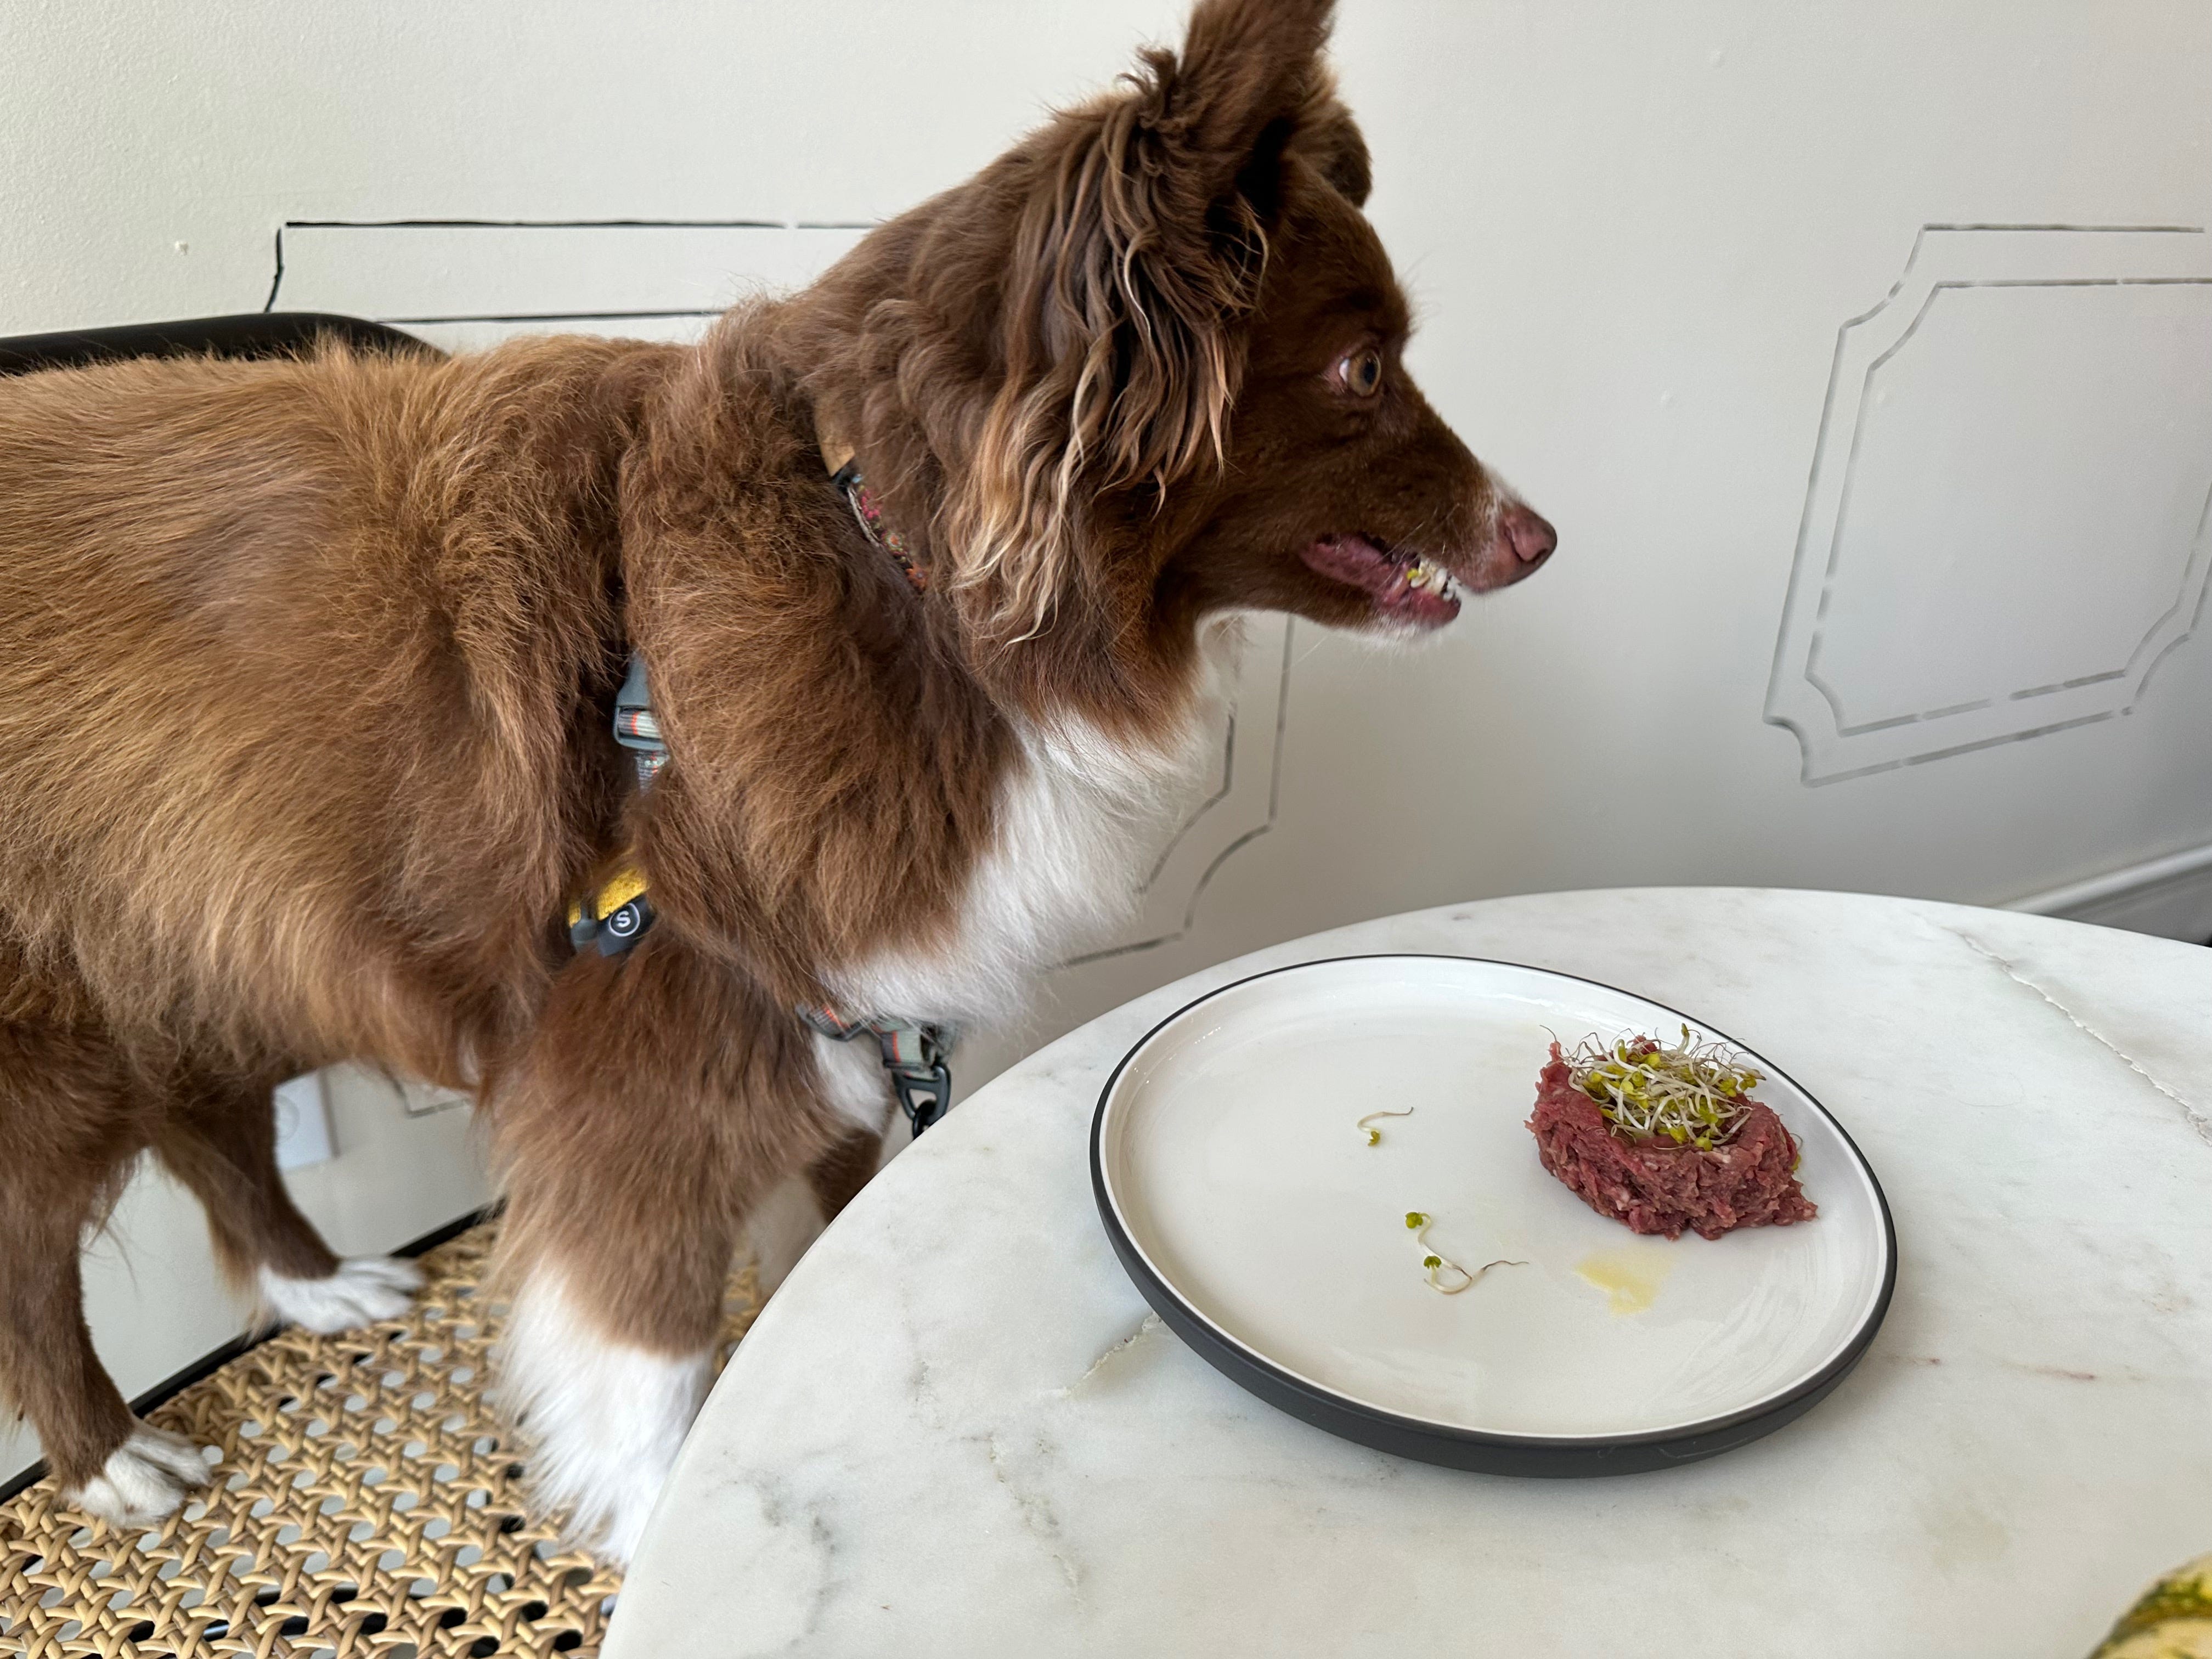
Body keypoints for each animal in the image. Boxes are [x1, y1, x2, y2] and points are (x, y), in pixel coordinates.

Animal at [0, 0, 1548, 1557]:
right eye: (1362, 370)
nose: (1535, 537)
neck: (905, 572)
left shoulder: (843, 1023)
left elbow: (825, 1236)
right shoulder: (650, 1086)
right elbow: (659, 1380)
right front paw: (656, 1530)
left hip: (201, 938)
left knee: (210, 1123)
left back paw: (316, 1285)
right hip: (67, 1032)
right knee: (40, 1248)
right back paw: (108, 1456)